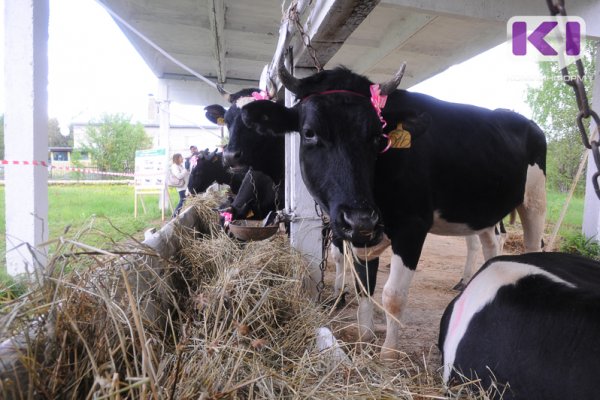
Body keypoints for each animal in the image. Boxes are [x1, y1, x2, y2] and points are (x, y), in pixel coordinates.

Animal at [239, 57, 544, 360]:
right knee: (491, 243)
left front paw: (388, 354)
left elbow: (393, 295)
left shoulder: (412, 225)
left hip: (535, 200)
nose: (359, 218)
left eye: (377, 137)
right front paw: (365, 337)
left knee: (532, 245)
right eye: (309, 133)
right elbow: (364, 286)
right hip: (482, 211)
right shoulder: (361, 231)